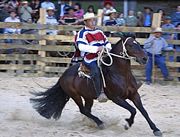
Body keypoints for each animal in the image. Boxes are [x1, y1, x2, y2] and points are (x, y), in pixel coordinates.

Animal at [30, 34, 162, 136]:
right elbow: (133, 110)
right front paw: (127, 124)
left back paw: (95, 123)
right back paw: (100, 123)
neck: (121, 74)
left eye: (138, 43)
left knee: (87, 110)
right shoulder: (116, 98)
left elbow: (143, 111)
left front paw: (156, 129)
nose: (145, 58)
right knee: (83, 110)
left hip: (88, 97)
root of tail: (63, 75)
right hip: (75, 96)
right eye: (130, 45)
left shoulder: (134, 94)